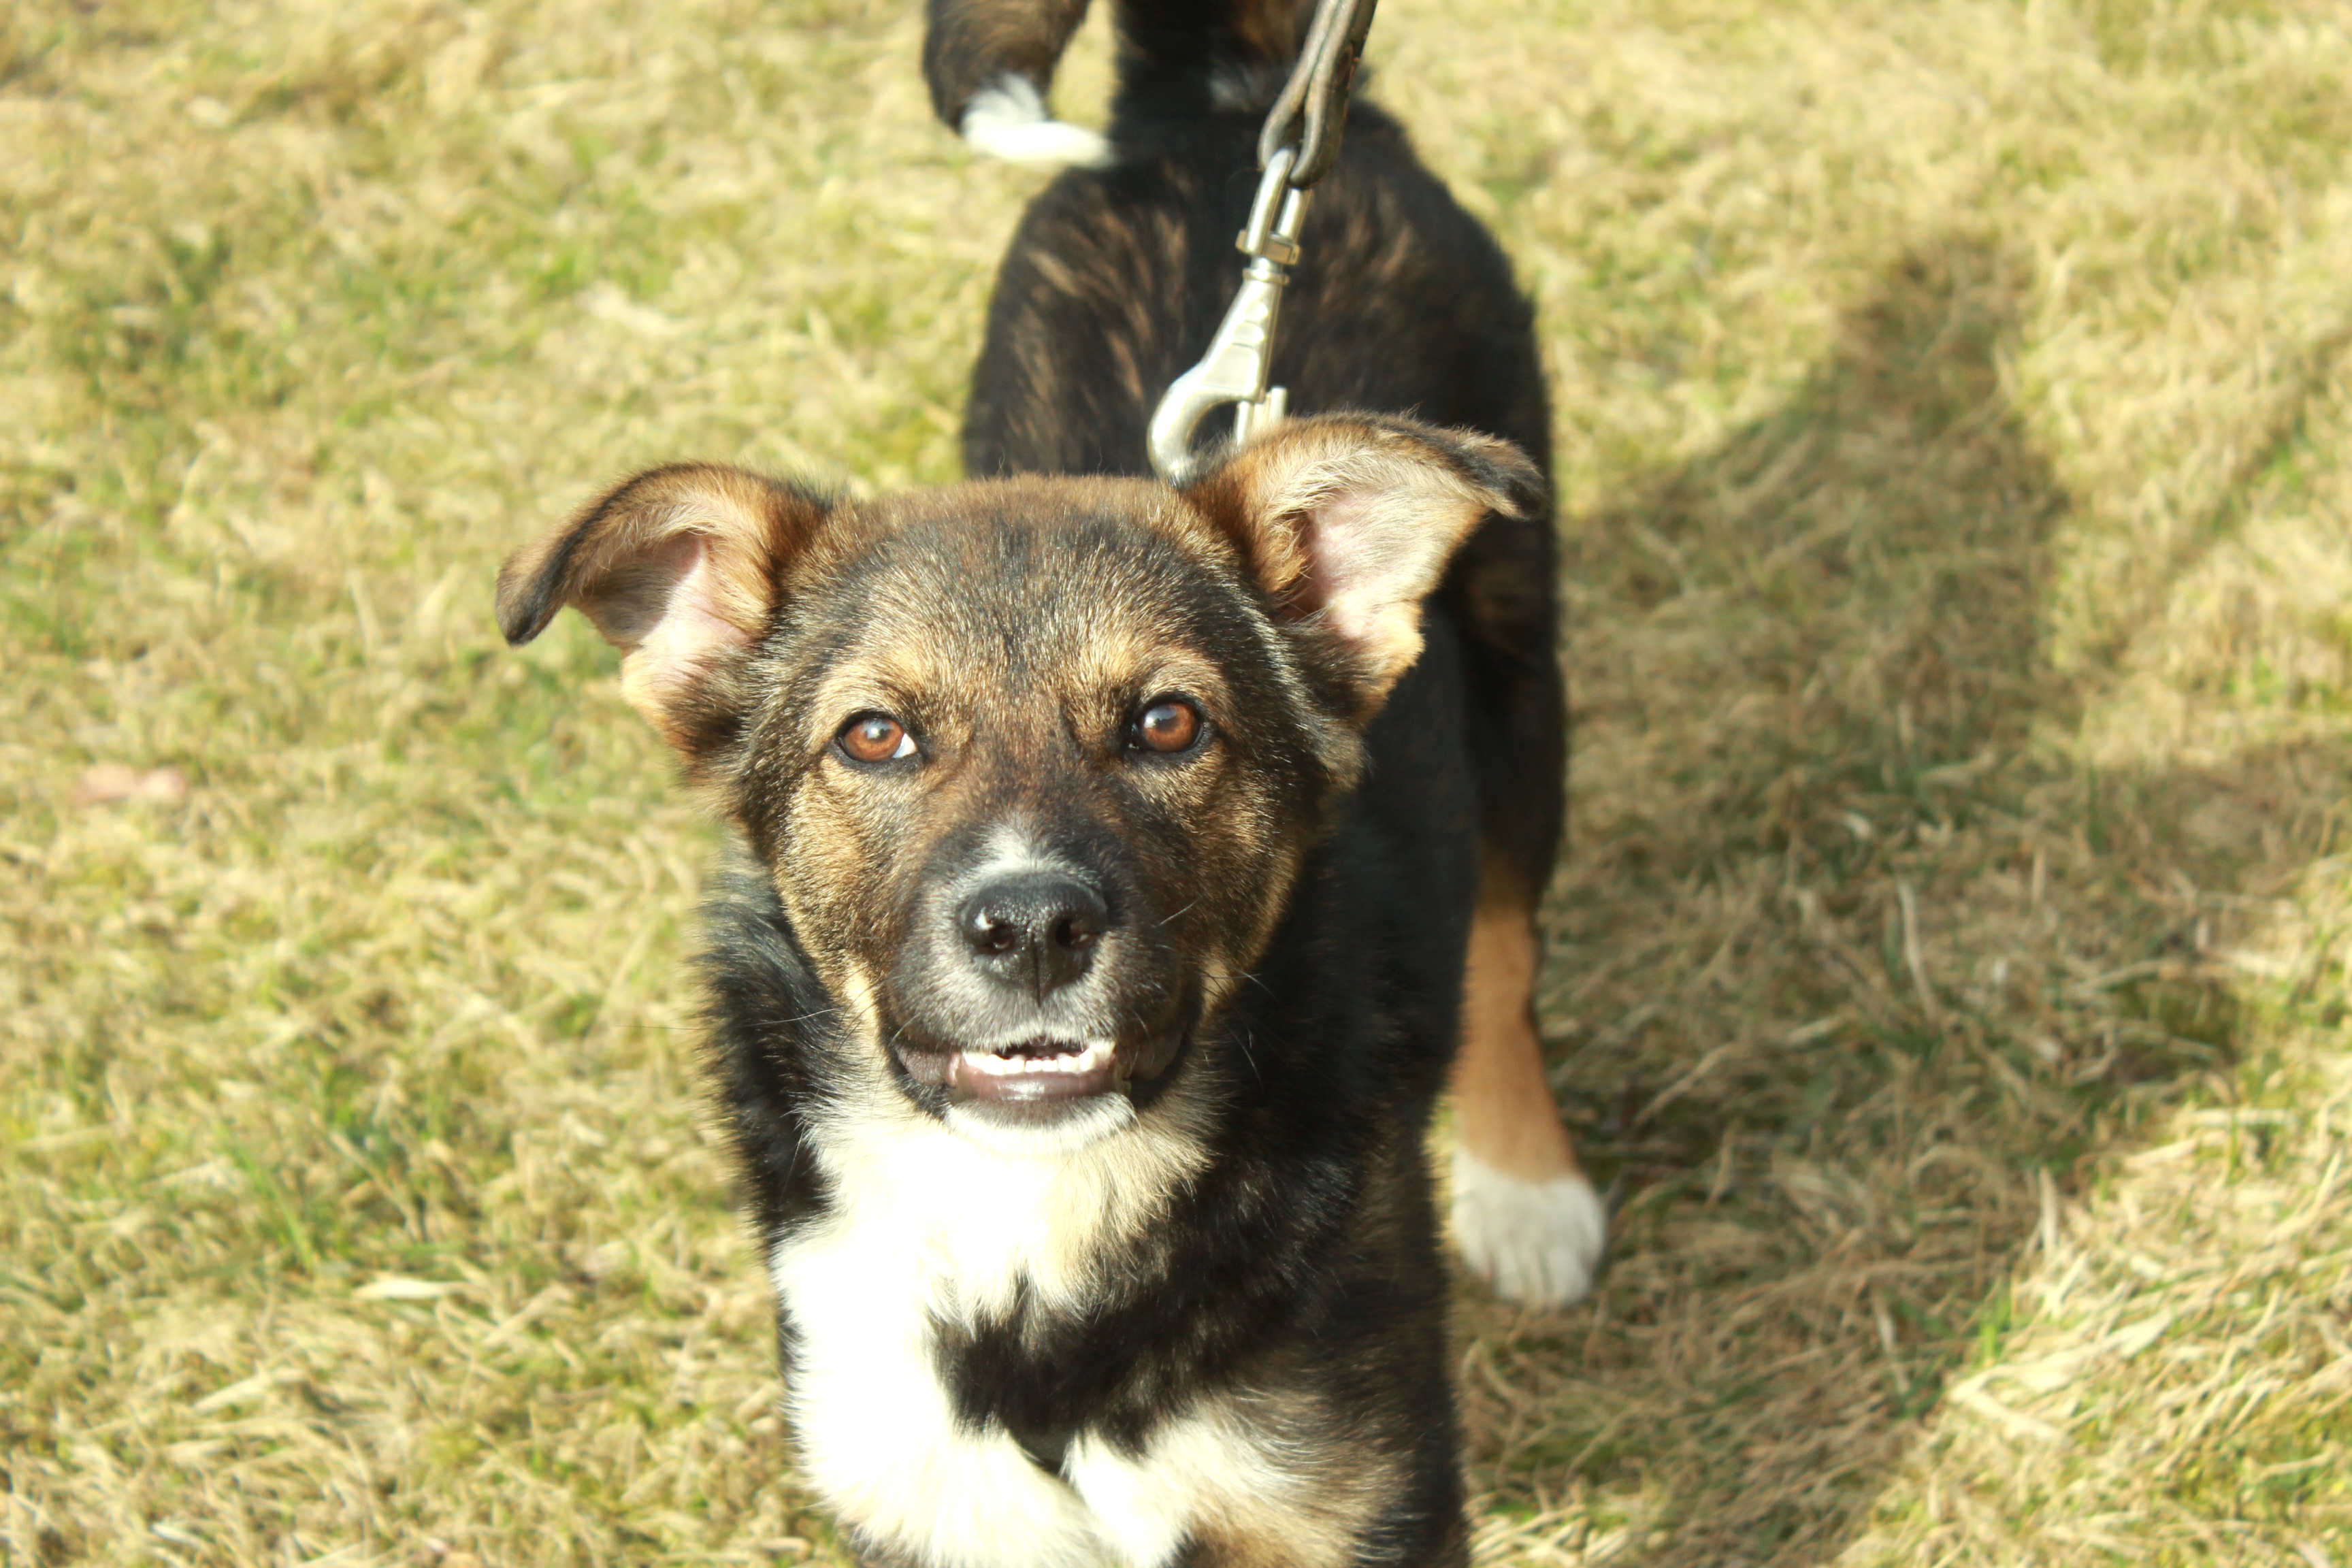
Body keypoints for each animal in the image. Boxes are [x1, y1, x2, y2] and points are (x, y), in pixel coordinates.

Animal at [494, 3, 1604, 1563]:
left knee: (1503, 943)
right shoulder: (920, 1489)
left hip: (1519, 672)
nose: (1030, 930)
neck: (1031, 1218)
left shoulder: (1352, 1499)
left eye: (1168, 723)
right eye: (875, 737)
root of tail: (1223, 104)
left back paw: (1526, 1187)